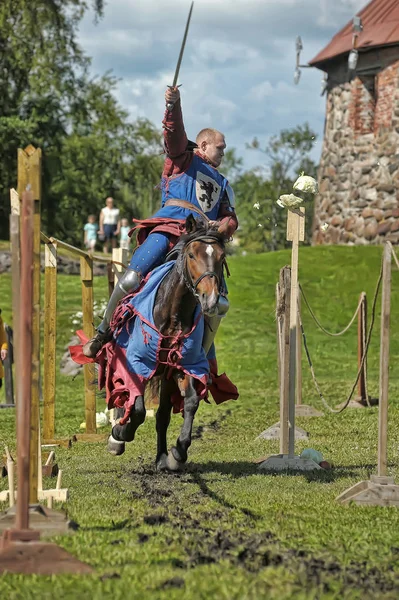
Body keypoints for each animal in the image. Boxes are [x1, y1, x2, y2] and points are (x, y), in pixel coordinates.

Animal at [108, 213, 230, 472]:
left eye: (221, 257)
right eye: (192, 255)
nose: (211, 299)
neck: (173, 314)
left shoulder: (184, 366)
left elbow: (191, 402)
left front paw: (178, 452)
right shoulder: (137, 363)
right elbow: (137, 408)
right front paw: (121, 433)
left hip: (165, 377)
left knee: (162, 415)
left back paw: (162, 456)